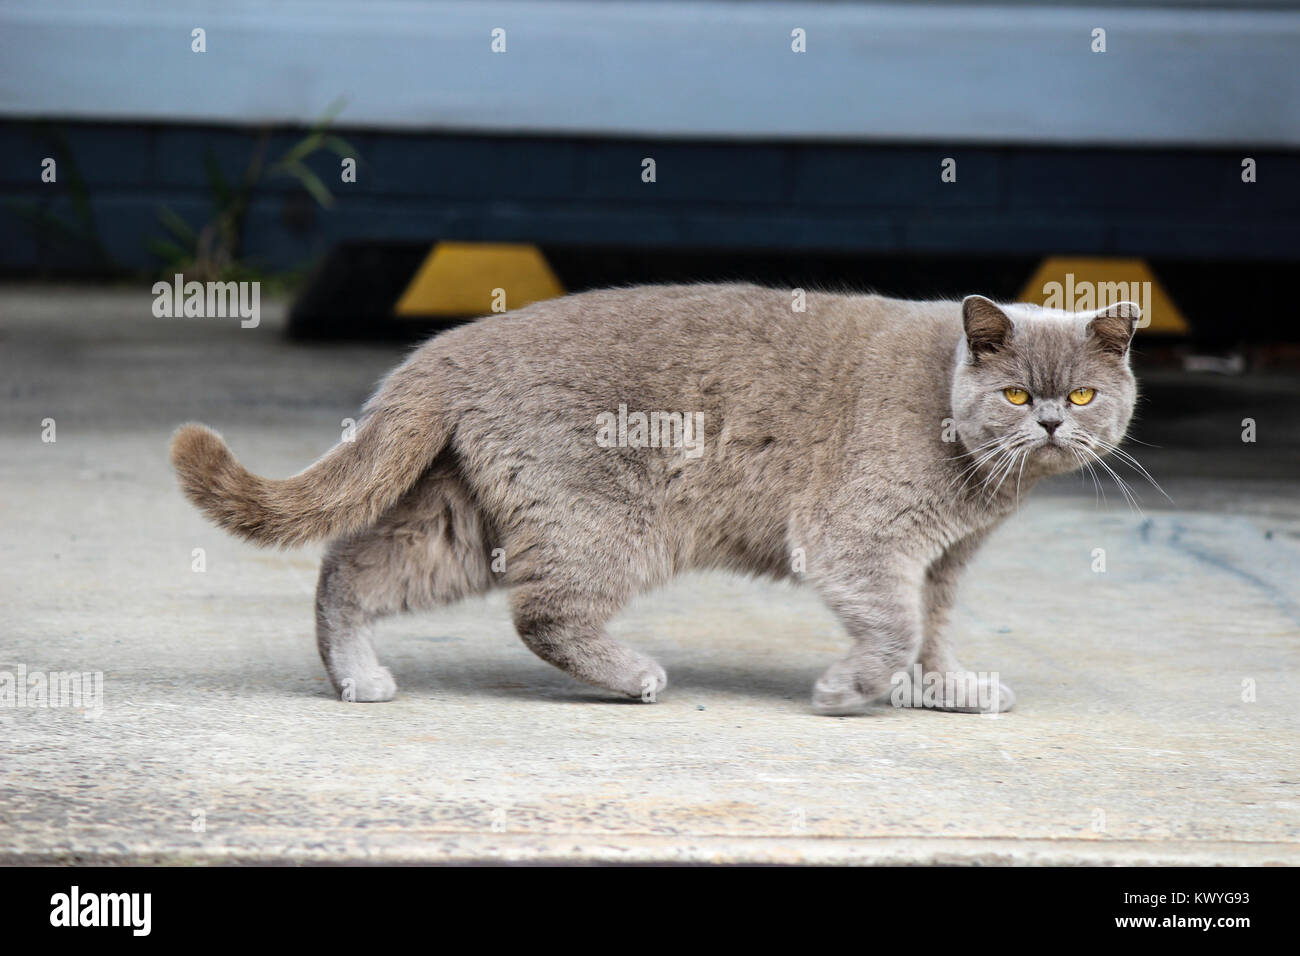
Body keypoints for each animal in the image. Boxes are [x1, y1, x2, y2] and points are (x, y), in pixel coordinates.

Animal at [170, 287, 1138, 712]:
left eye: (1083, 394)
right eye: (1016, 394)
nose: (1052, 421)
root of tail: (446, 348)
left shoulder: (940, 563)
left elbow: (928, 635)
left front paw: (945, 691)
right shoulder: (858, 538)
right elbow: (894, 630)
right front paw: (843, 690)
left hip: (462, 520)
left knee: (350, 566)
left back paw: (357, 677)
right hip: (603, 524)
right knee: (543, 614)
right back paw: (635, 676)